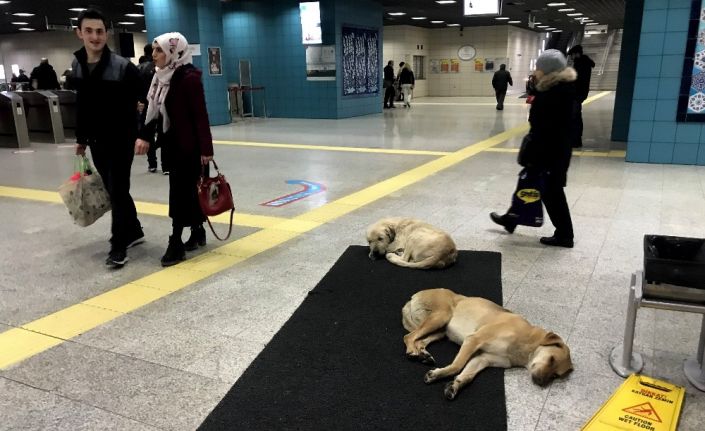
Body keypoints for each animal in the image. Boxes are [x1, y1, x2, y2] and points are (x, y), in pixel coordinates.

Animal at [402, 288, 572, 400]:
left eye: (555, 376)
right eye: (551, 359)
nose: (541, 382)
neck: (528, 343)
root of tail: (414, 296)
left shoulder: (483, 358)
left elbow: (468, 375)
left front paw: (454, 385)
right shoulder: (473, 340)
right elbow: (457, 365)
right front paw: (439, 374)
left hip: (441, 330)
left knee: (420, 340)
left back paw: (423, 354)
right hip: (441, 316)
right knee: (409, 336)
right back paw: (412, 351)